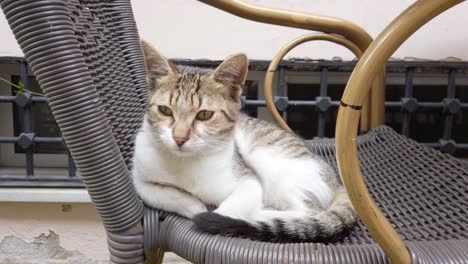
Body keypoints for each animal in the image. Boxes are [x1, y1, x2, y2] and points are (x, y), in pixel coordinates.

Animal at [130, 41, 356, 243]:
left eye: (204, 114)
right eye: (165, 110)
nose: (179, 138)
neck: (184, 163)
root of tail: (336, 180)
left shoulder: (249, 181)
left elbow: (231, 207)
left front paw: (214, 214)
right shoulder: (140, 178)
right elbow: (160, 194)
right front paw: (194, 205)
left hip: (268, 161)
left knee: (307, 212)